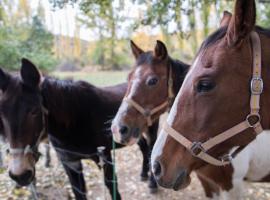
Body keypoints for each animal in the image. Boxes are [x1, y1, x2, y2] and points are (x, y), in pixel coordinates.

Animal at [0, 58, 159, 199]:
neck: (75, 121)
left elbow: (112, 187)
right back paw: (143, 174)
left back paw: (152, 184)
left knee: (152, 149)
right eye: (1, 114)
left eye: (34, 111)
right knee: (144, 148)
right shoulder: (70, 163)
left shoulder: (105, 157)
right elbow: (79, 192)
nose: (20, 175)